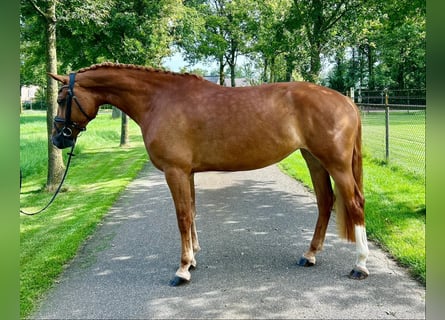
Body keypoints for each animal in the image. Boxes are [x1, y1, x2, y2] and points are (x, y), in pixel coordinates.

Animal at [48, 62, 370, 284]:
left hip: (336, 164)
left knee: (355, 204)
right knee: (325, 202)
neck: (159, 100)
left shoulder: (175, 171)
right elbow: (191, 211)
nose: (58, 140)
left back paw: (360, 265)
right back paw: (310, 255)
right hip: (313, 159)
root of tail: (346, 101)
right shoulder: (187, 172)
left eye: (62, 99)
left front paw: (182, 269)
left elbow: (182, 216)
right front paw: (192, 260)